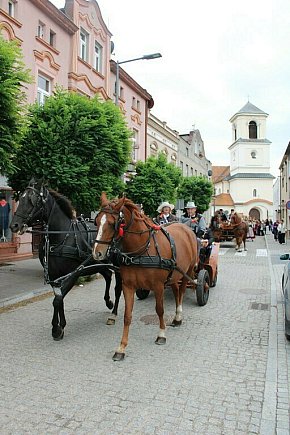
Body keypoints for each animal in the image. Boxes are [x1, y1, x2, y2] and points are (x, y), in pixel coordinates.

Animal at [9, 180, 122, 340]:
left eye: (32, 200)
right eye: (21, 198)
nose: (14, 225)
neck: (60, 236)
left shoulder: (73, 274)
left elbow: (57, 300)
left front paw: (57, 328)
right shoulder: (54, 276)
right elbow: (59, 298)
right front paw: (59, 325)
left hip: (118, 265)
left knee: (118, 288)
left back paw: (114, 312)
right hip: (98, 263)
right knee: (107, 275)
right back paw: (108, 302)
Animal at [92, 193, 198, 362]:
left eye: (112, 223)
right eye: (96, 221)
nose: (97, 253)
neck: (141, 251)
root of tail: (185, 227)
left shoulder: (158, 286)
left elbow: (160, 310)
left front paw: (161, 334)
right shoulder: (128, 286)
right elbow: (127, 316)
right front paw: (121, 347)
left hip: (185, 271)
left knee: (181, 292)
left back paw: (178, 316)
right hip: (173, 274)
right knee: (175, 290)